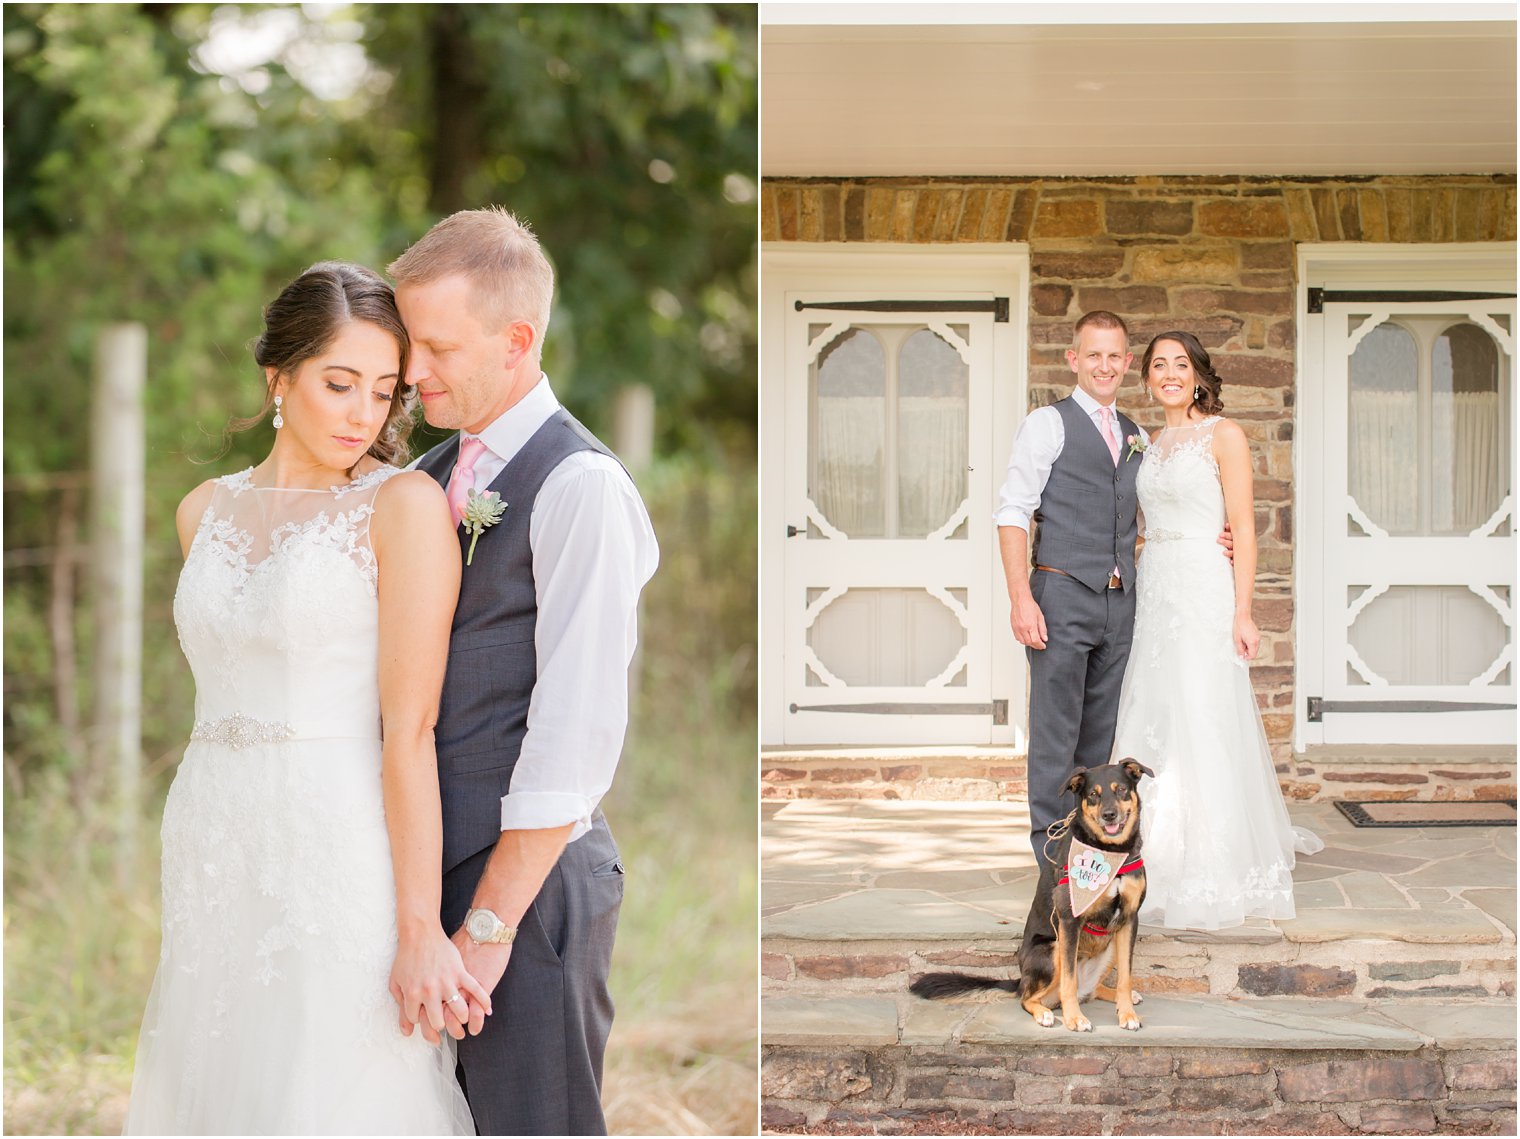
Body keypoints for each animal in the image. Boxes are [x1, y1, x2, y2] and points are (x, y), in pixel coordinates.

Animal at [899, 760, 1149, 1034]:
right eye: (1093, 794)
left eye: (1121, 790)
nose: (1109, 815)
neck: (1111, 853)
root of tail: (1021, 979)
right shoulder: (1069, 920)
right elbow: (1069, 980)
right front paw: (1074, 1019)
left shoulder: (1129, 919)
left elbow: (1126, 977)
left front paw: (1127, 1014)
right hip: (1052, 948)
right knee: (1029, 998)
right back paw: (1044, 1013)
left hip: (1111, 943)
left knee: (1092, 989)